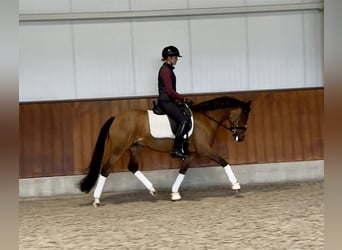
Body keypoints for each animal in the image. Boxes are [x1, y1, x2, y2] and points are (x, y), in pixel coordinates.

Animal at [79, 94, 251, 206]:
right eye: (244, 115)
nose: (241, 137)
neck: (205, 120)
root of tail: (116, 117)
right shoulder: (205, 150)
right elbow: (224, 162)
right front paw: (236, 185)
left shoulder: (189, 154)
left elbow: (182, 171)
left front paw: (174, 193)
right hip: (118, 150)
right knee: (106, 169)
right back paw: (96, 200)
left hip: (136, 147)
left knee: (132, 167)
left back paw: (152, 189)